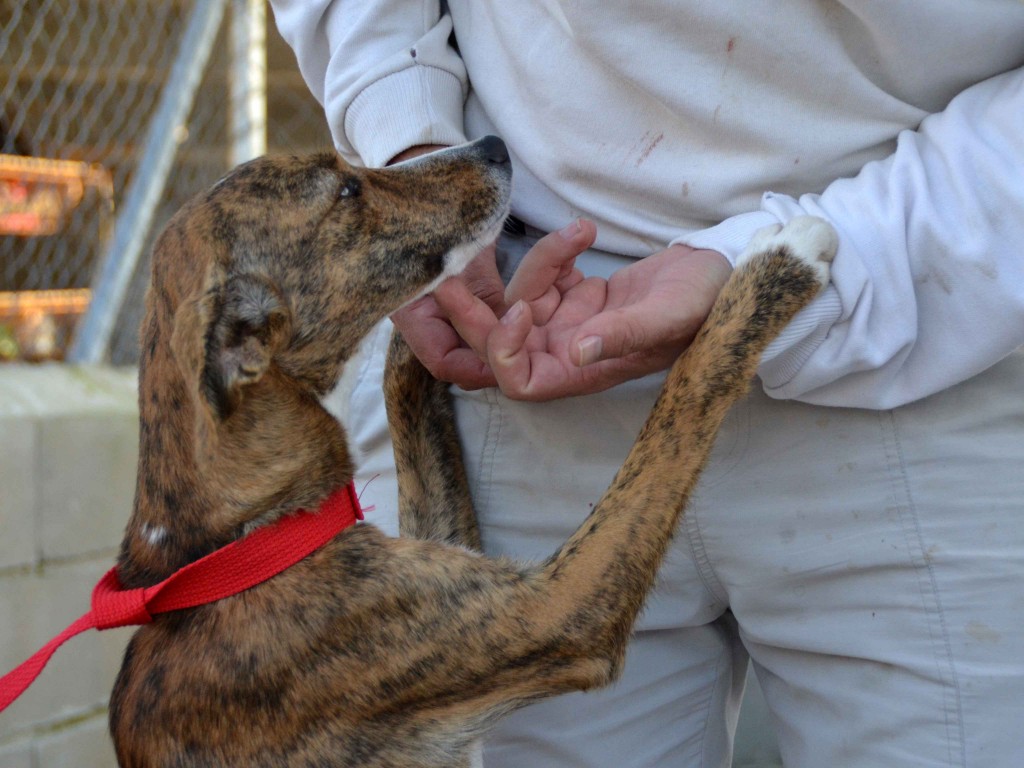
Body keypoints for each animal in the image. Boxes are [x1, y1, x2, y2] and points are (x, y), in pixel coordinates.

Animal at [108, 135, 835, 765]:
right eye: (347, 190)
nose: (492, 143)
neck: (233, 545)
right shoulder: (554, 612)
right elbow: (684, 397)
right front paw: (783, 258)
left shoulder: (451, 556)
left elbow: (407, 394)